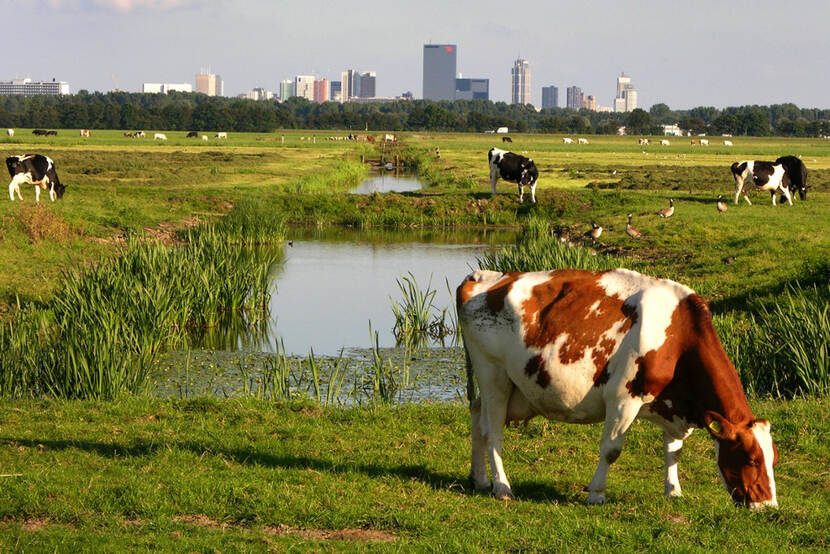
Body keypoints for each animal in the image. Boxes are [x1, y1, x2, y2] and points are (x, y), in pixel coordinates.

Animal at [462, 268, 780, 508]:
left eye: (773, 458)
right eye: (752, 459)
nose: (768, 506)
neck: (679, 337)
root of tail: (485, 276)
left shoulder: (670, 405)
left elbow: (673, 451)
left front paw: (673, 491)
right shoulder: (623, 399)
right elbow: (611, 450)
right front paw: (596, 493)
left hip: (507, 387)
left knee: (477, 417)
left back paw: (480, 480)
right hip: (493, 375)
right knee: (493, 433)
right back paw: (503, 487)